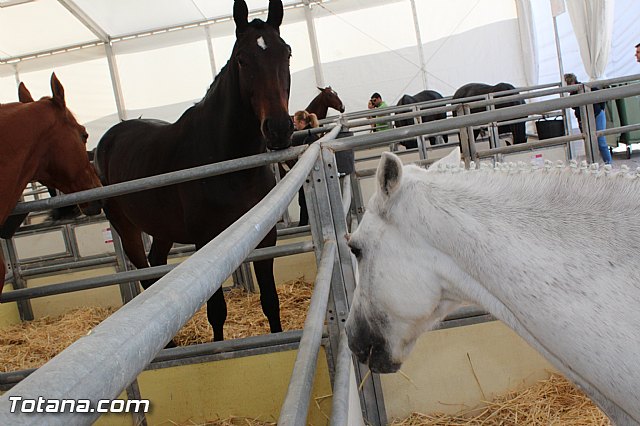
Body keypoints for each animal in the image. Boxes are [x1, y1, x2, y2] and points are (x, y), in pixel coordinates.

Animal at [94, 0, 293, 343]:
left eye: (287, 53)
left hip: (161, 228)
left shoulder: (265, 237)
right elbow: (217, 312)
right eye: (242, 60)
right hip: (126, 227)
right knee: (145, 272)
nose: (279, 129)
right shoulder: (207, 241)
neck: (231, 166)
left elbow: (270, 301)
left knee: (157, 263)